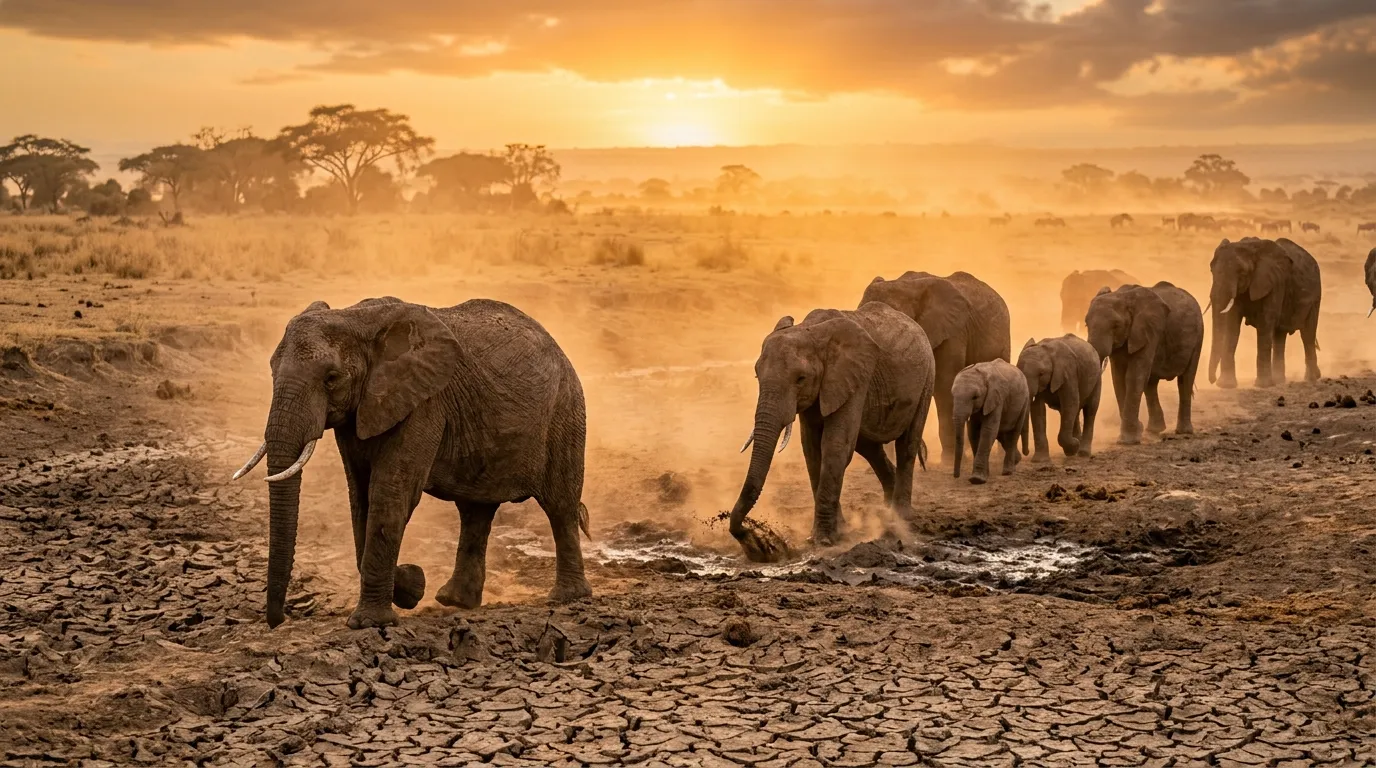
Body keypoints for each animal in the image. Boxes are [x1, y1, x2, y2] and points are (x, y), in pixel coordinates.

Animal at [232, 297, 591, 629]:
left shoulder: (424, 401)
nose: (278, 620)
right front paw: (412, 585)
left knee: (559, 505)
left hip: (565, 411)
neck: (356, 318)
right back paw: (455, 601)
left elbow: (391, 493)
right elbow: (360, 498)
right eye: (272, 370)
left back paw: (566, 598)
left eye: (331, 378)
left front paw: (372, 621)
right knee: (475, 511)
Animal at [728, 301, 935, 561]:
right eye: (757, 374)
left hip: (927, 378)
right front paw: (837, 532)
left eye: (800, 379)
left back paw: (900, 519)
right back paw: (888, 510)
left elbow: (834, 447)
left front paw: (823, 540)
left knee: (907, 444)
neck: (811, 332)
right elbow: (812, 450)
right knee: (869, 447)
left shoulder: (854, 377)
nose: (753, 540)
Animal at [1086, 282, 1203, 444]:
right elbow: (1118, 378)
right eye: (1086, 324)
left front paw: (1127, 441)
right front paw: (1137, 431)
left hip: (1198, 336)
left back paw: (1183, 432)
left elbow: (1134, 376)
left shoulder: (1148, 331)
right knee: (1150, 383)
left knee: (1186, 379)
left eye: (1116, 325)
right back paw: (1154, 430)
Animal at [1207, 238, 1321, 389]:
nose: (1212, 380)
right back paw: (1279, 381)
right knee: (1280, 335)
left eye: (1242, 272)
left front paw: (1262, 385)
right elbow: (1232, 327)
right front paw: (1225, 385)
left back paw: (1311, 379)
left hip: (1315, 297)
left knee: (1307, 334)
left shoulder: (1274, 283)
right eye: (1211, 269)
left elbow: (1265, 324)